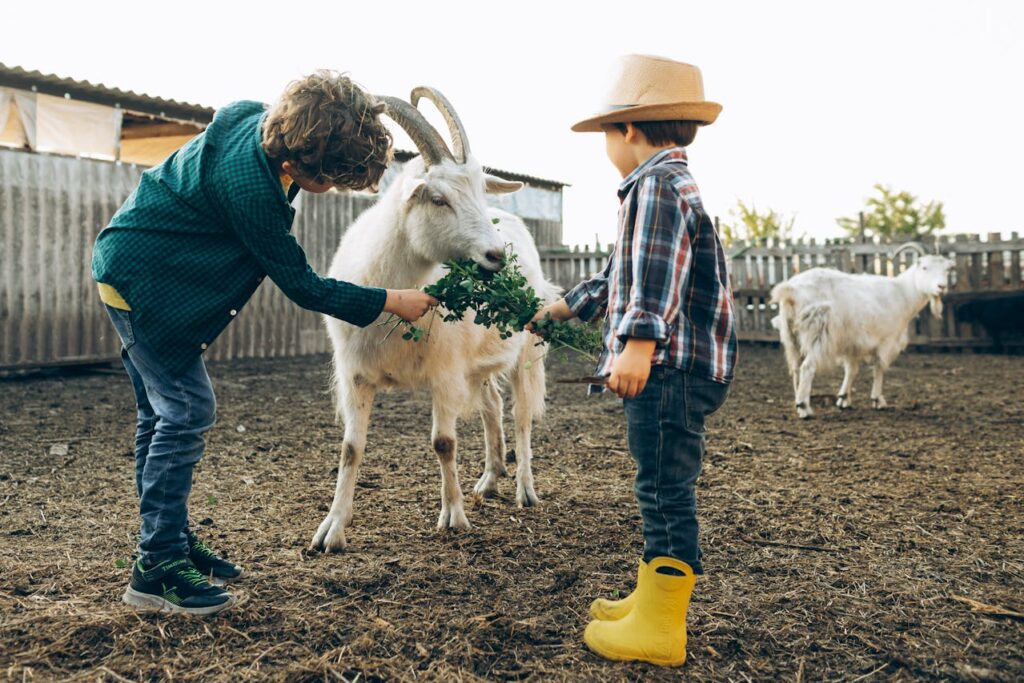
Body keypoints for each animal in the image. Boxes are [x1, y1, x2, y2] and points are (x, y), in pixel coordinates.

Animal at [309, 88, 561, 552]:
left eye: (481, 191)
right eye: (438, 198)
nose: (495, 257)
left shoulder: (445, 373)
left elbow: (444, 442)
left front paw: (454, 517)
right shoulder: (356, 376)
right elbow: (351, 448)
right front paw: (331, 529)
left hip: (524, 351)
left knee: (521, 417)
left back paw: (524, 490)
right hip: (476, 364)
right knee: (492, 405)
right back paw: (489, 480)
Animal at [770, 242, 954, 419]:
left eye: (947, 269)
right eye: (924, 267)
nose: (941, 287)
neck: (902, 293)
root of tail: (791, 291)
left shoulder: (852, 343)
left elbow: (852, 370)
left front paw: (844, 399)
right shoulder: (887, 340)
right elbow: (879, 367)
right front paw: (878, 400)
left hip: (790, 334)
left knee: (795, 369)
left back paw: (798, 404)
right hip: (820, 331)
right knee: (807, 367)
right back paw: (804, 408)